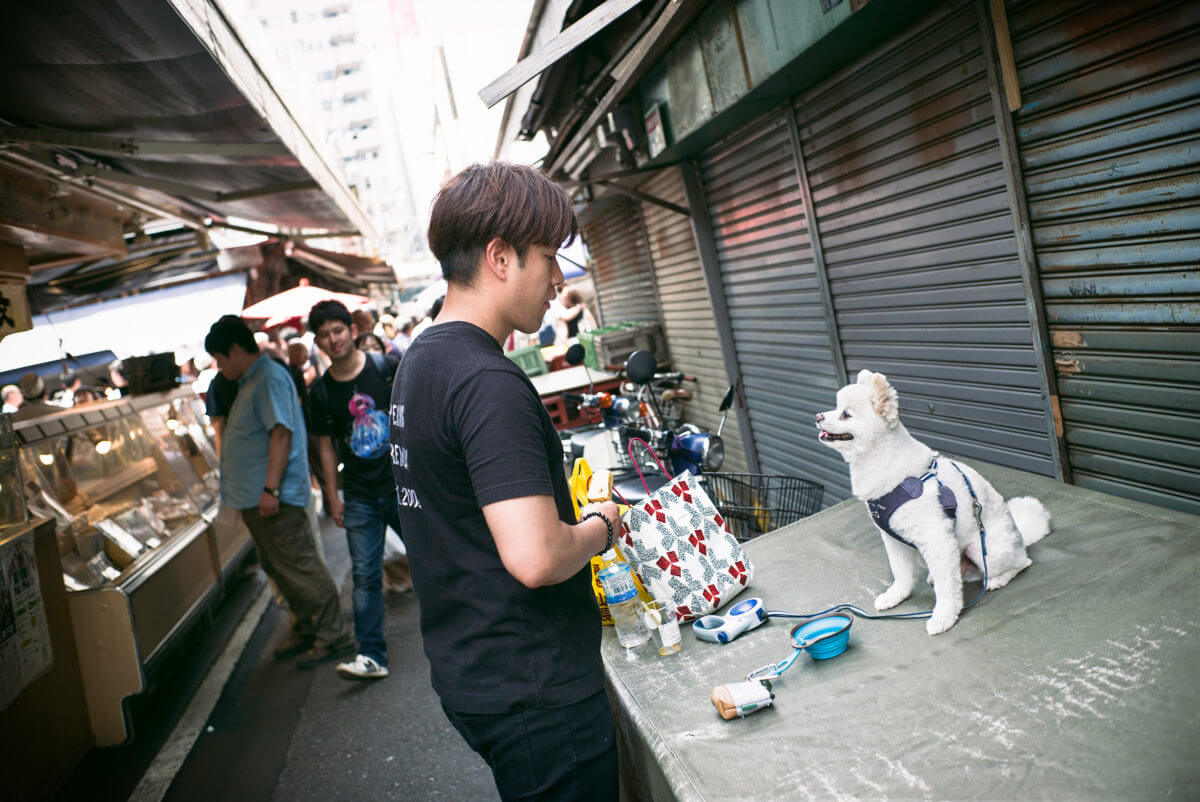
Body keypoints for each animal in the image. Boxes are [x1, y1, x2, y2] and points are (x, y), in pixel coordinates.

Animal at [816, 367, 1051, 633]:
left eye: (846, 414)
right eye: (836, 408)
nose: (818, 416)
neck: (884, 463)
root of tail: (1021, 538)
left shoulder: (936, 538)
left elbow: (946, 588)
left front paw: (944, 617)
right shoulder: (892, 538)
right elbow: (901, 573)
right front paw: (896, 595)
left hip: (984, 550)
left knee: (1021, 563)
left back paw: (999, 578)